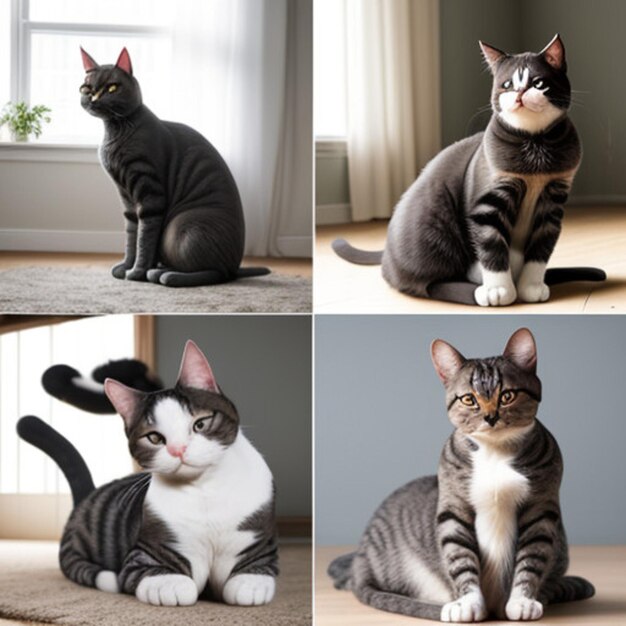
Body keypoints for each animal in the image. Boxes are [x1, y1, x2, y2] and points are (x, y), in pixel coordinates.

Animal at [17, 342, 276, 604]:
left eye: (200, 424)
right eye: (154, 438)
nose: (178, 449)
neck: (204, 489)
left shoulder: (259, 539)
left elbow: (254, 572)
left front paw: (249, 584)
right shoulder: (144, 552)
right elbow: (159, 575)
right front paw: (171, 585)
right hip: (74, 553)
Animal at [78, 48, 268, 288]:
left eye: (111, 88)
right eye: (86, 88)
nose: (93, 99)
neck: (115, 130)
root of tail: (235, 268)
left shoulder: (150, 195)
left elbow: (144, 239)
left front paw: (137, 272)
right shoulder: (126, 198)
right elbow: (131, 236)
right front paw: (126, 267)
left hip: (177, 228)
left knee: (215, 273)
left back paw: (164, 275)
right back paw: (160, 270)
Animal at [330, 326, 592, 620]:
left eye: (507, 396)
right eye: (469, 399)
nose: (490, 417)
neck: (495, 452)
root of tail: (361, 562)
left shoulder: (541, 507)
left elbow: (532, 556)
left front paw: (523, 600)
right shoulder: (453, 508)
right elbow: (459, 556)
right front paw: (468, 602)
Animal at [332, 36, 604, 304]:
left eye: (538, 83)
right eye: (507, 84)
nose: (519, 94)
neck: (534, 145)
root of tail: (387, 255)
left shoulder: (553, 200)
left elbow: (541, 248)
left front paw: (532, 287)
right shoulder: (488, 200)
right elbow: (491, 245)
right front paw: (499, 290)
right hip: (432, 231)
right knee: (429, 284)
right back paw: (478, 289)